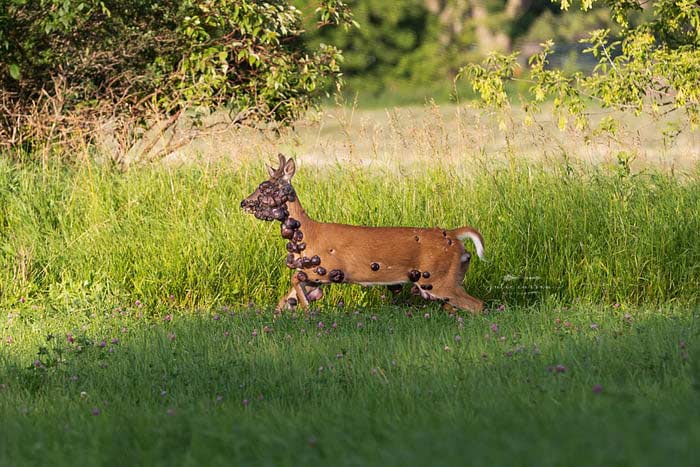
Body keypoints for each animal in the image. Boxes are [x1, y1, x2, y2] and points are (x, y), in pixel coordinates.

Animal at [241, 154, 486, 314]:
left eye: (265, 187)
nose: (244, 202)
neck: (308, 234)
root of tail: (455, 235)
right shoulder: (313, 275)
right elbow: (284, 299)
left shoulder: (328, 267)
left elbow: (293, 280)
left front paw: (307, 308)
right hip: (449, 278)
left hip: (438, 279)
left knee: (478, 305)